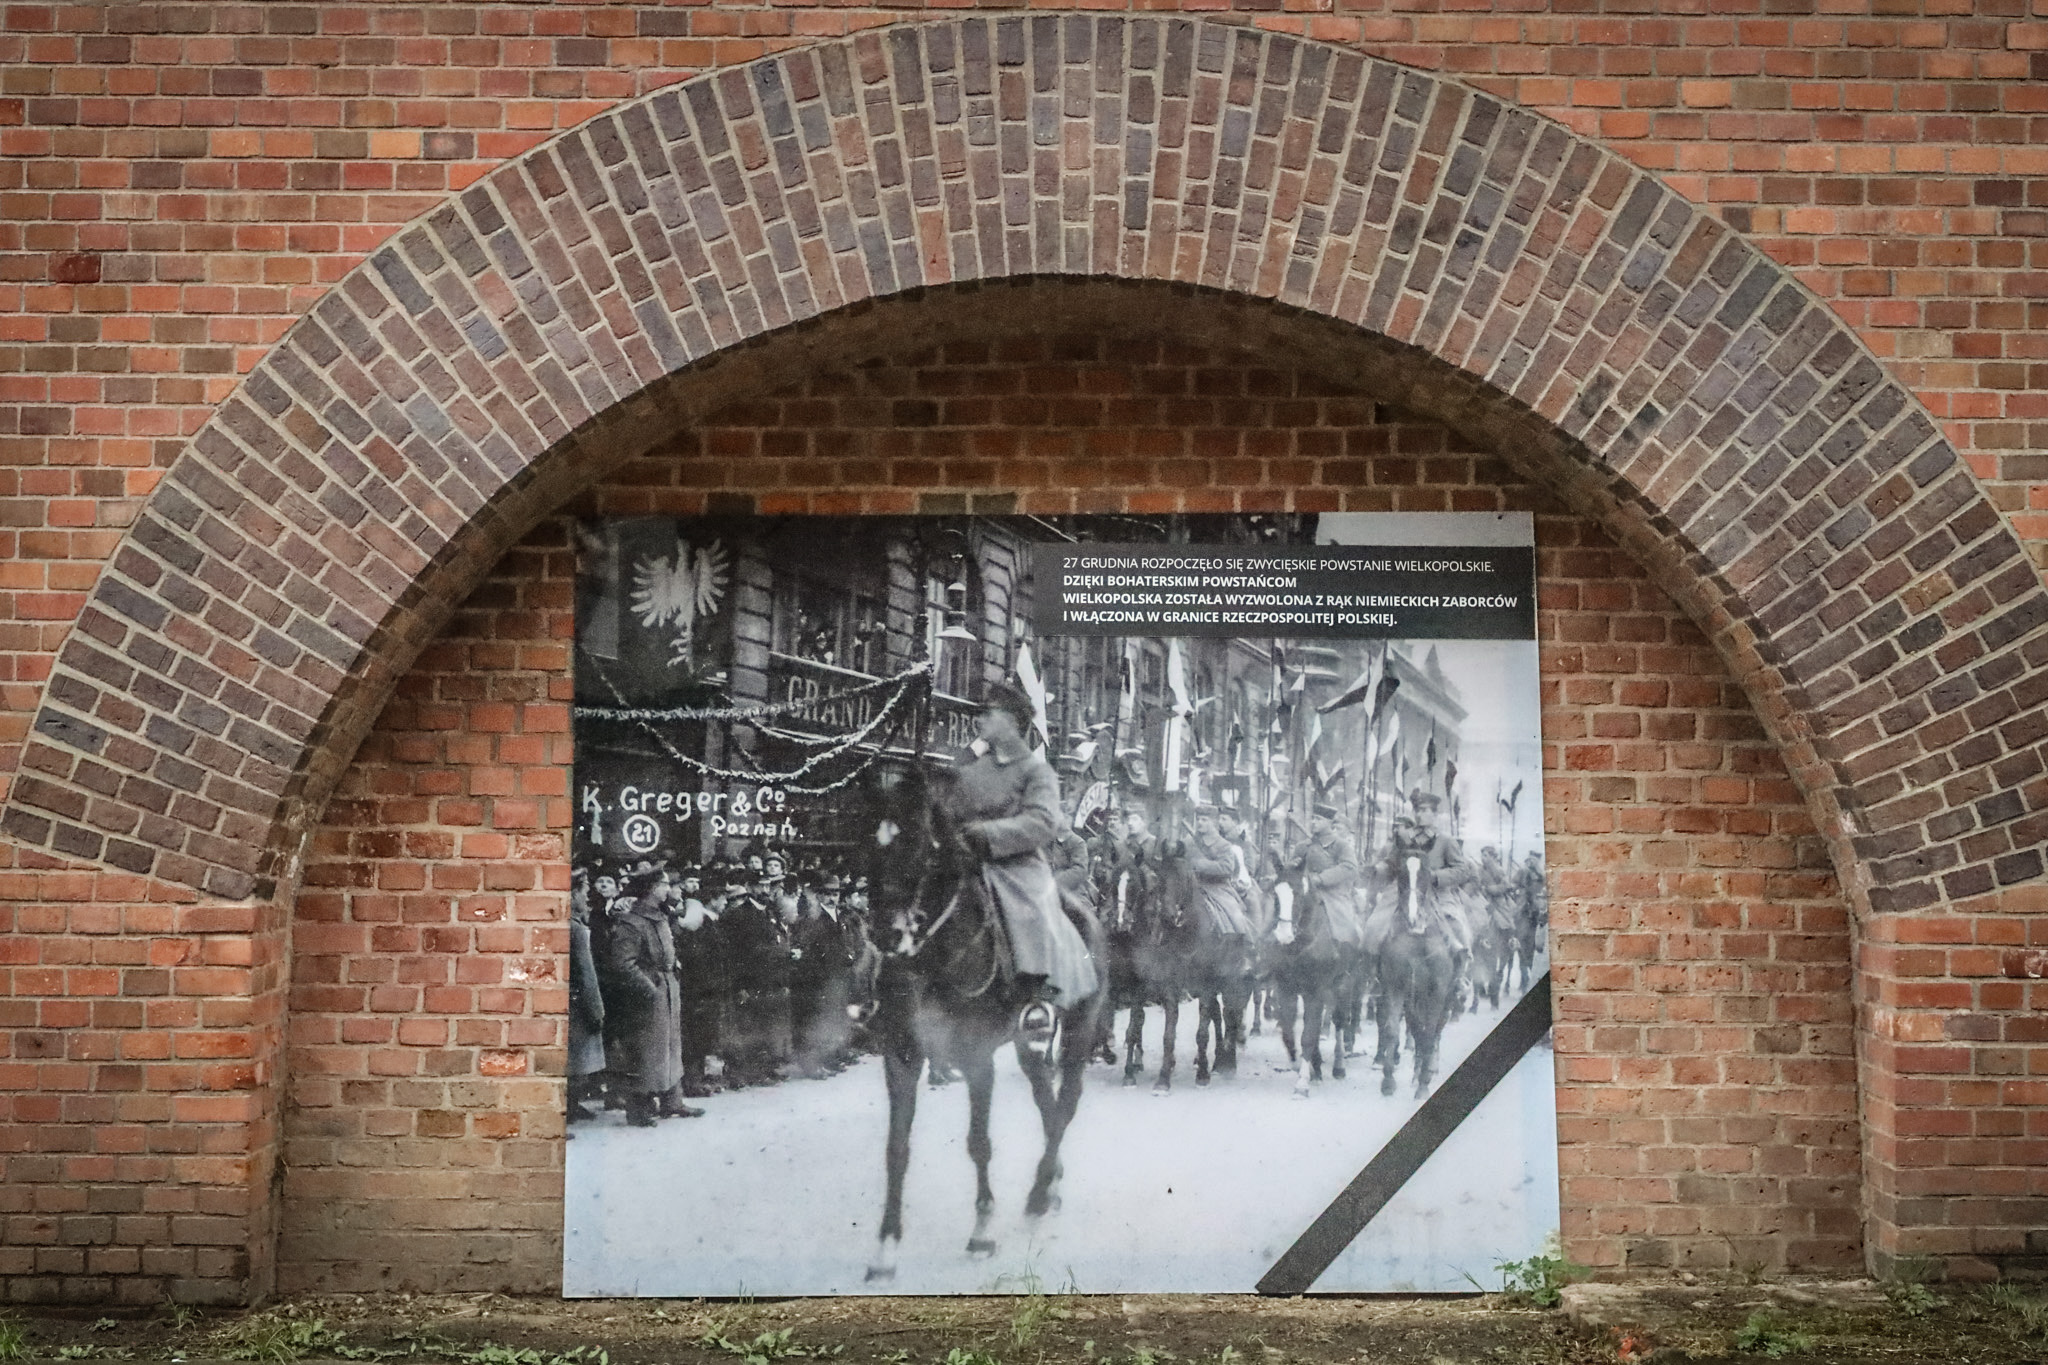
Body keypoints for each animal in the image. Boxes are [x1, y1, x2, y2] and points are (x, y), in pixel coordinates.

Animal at [860, 765, 1114, 1285]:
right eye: (869, 841)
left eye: (920, 844)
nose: (883, 933)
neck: (932, 956)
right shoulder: (901, 1055)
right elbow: (896, 1150)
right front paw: (886, 1249)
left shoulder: (977, 1058)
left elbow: (979, 1143)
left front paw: (981, 1232)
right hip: (1027, 1041)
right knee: (1044, 1096)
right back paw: (1050, 1182)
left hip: (1080, 1029)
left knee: (1066, 1103)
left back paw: (1038, 1193)